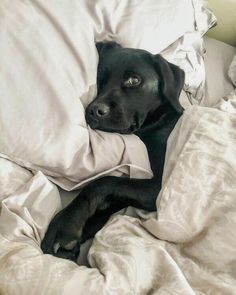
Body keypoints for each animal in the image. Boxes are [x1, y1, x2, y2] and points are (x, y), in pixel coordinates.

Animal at [41, 42, 185, 262]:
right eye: (100, 80)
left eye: (134, 80)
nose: (94, 111)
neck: (158, 121)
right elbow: (107, 200)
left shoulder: (160, 187)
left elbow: (101, 182)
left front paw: (65, 224)